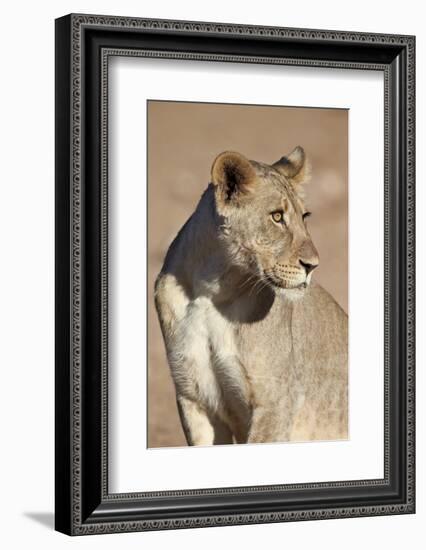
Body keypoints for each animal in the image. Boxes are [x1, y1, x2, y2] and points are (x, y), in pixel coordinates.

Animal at [155, 148, 348, 448]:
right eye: (277, 217)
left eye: (305, 216)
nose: (313, 265)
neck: (212, 289)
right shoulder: (193, 398)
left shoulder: (276, 401)